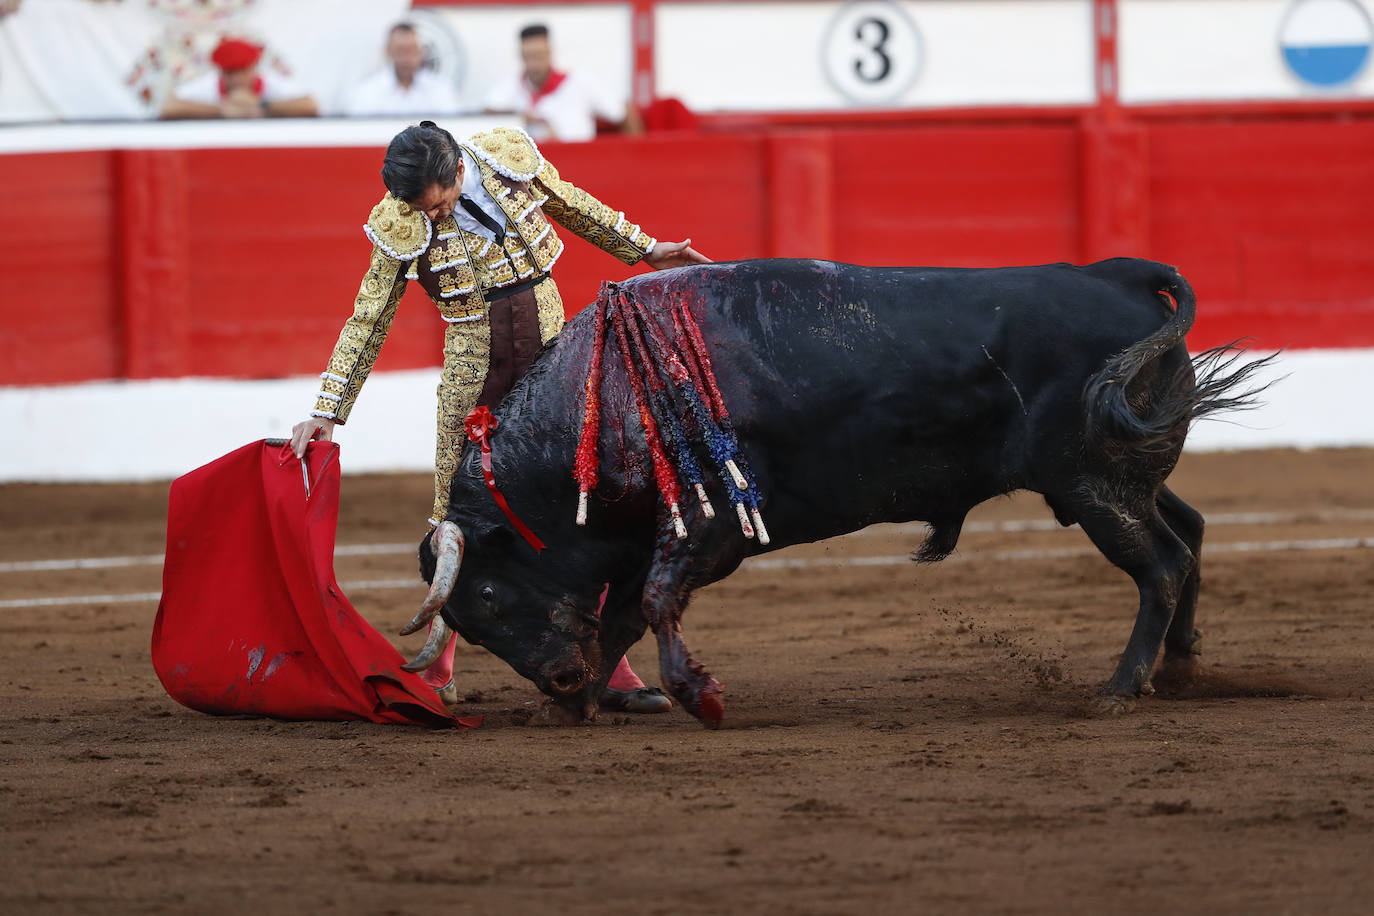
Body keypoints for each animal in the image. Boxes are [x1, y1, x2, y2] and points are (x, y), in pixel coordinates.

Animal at [409, 256, 1264, 725]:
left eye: (487, 596)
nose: (555, 675)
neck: (609, 392)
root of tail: (1117, 275)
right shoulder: (656, 537)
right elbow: (620, 616)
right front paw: (569, 704)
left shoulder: (707, 533)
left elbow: (648, 604)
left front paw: (696, 696)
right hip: (1121, 477)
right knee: (1189, 535)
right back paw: (1178, 669)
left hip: (1094, 487)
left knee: (1160, 565)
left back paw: (1120, 688)